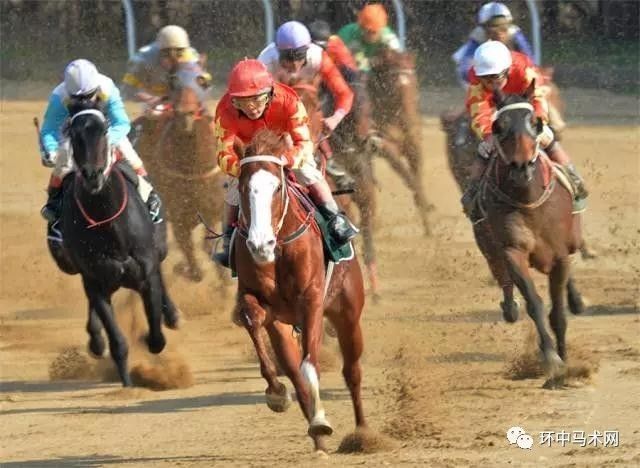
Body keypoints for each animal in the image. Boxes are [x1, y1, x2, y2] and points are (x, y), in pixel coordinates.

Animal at [48, 108, 180, 387]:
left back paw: (172, 315)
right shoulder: (96, 279)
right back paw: (96, 341)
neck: (109, 224)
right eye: (73, 133)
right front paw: (127, 383)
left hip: (158, 248)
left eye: (104, 130)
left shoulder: (145, 273)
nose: (92, 174)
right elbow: (117, 341)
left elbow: (156, 336)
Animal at [134, 63, 225, 282]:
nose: (186, 113)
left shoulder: (213, 210)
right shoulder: (178, 219)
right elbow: (195, 268)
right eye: (173, 80)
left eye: (201, 80)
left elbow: (210, 246)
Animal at [232, 130, 367, 453]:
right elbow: (253, 320)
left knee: (352, 372)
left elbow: (310, 365)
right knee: (295, 373)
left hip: (348, 314)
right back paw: (318, 441)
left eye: (277, 186)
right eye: (242, 187)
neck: (280, 248)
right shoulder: (256, 300)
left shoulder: (312, 301)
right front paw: (277, 393)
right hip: (282, 327)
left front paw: (321, 419)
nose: (260, 244)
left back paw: (363, 434)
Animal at [368, 48, 434, 235]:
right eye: (393, 82)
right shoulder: (386, 146)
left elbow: (416, 176)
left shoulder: (414, 146)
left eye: (414, 81)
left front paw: (427, 223)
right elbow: (405, 173)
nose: (408, 117)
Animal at [471, 83, 586, 388]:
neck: (528, 199)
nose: (521, 167)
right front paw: (551, 358)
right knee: (500, 274)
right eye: (498, 126)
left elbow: (557, 313)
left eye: (536, 122)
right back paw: (509, 307)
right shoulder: (513, 250)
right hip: (487, 242)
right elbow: (534, 303)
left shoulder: (560, 255)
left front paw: (565, 362)